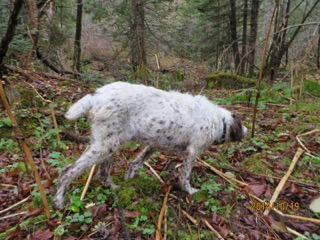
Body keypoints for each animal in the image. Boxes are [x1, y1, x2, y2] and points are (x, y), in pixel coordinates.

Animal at [52, 81, 248, 209]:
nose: (247, 131)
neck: (219, 121)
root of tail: (97, 96)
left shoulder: (154, 144)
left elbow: (136, 162)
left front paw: (129, 178)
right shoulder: (191, 152)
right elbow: (185, 176)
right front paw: (190, 191)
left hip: (108, 143)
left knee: (103, 171)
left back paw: (115, 187)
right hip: (106, 146)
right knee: (68, 171)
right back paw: (59, 201)